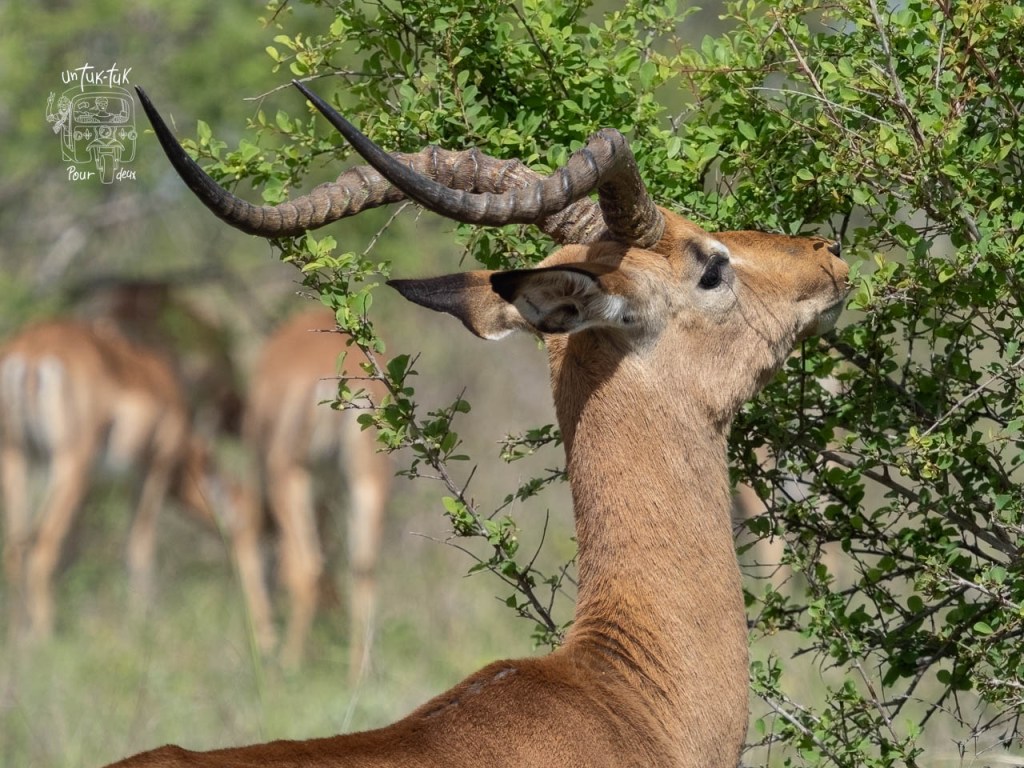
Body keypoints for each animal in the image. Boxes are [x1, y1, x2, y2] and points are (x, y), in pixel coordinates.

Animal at [0, 319, 228, 639]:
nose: (225, 526)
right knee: (41, 544)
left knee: (15, 546)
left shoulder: (92, 488)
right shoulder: (154, 469)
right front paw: (143, 619)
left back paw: (17, 635)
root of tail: (32, 353)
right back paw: (44, 635)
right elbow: (139, 543)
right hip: (70, 463)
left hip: (16, 457)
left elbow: (76, 546)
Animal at [239, 307, 391, 673]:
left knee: (306, 567)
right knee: (363, 568)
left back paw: (290, 664)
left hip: (291, 476)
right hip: (368, 480)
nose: (261, 639)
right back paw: (358, 673)